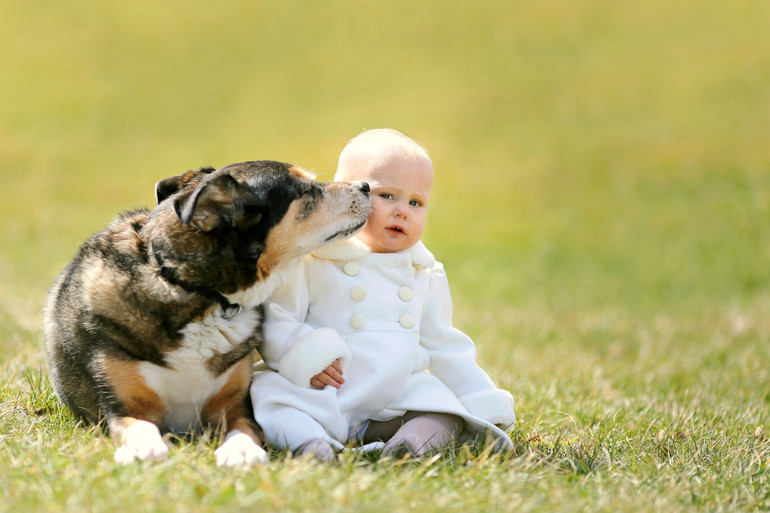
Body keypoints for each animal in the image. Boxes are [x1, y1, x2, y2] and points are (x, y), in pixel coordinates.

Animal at [43, 160, 370, 464]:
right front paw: (145, 449)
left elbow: (244, 430)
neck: (198, 291)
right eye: (306, 191)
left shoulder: (233, 405)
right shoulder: (126, 407)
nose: (366, 186)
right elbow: (140, 427)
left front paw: (242, 452)